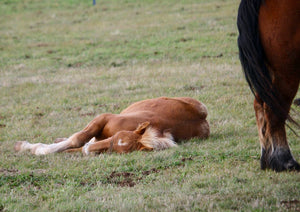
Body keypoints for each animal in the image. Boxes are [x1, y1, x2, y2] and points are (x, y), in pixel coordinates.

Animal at [14, 97, 210, 156]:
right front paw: (29, 146)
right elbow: (78, 138)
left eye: (117, 150)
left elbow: (77, 145)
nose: (90, 150)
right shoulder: (103, 117)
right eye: (115, 138)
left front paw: (35, 148)